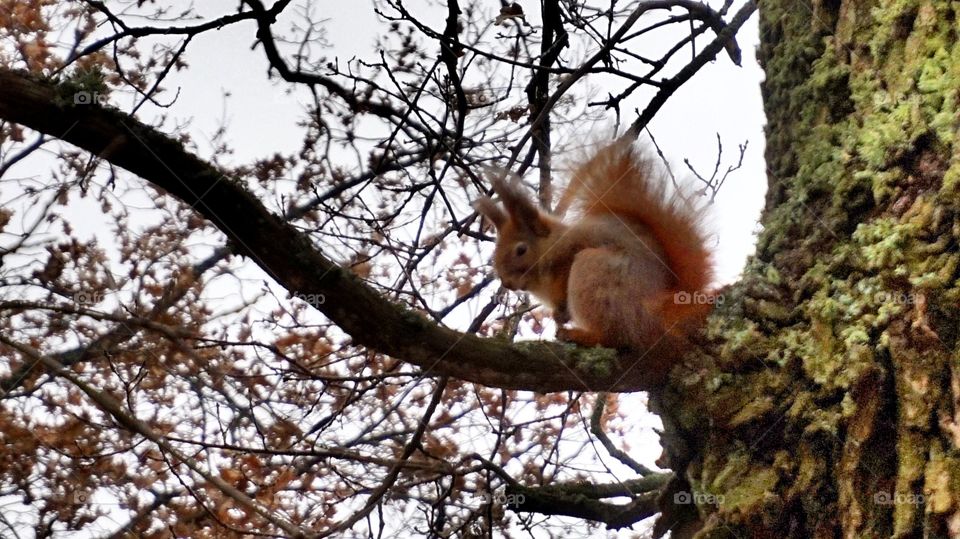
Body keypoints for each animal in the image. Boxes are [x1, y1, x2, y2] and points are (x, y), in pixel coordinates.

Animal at [475, 139, 715, 361]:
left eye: (521, 250)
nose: (506, 283)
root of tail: (653, 316)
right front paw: (558, 315)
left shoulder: (569, 251)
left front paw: (561, 312)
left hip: (594, 275)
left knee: (614, 337)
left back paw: (581, 335)